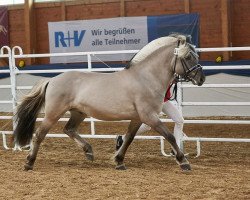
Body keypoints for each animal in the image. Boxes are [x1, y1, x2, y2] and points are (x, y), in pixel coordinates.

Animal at [13, 33, 205, 171]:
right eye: (188, 57)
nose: (201, 79)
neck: (146, 78)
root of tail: (52, 80)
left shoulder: (138, 118)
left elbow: (129, 138)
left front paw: (119, 161)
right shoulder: (149, 116)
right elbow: (169, 136)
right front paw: (183, 162)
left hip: (78, 113)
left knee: (69, 129)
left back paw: (89, 152)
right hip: (53, 113)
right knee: (39, 134)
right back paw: (29, 163)